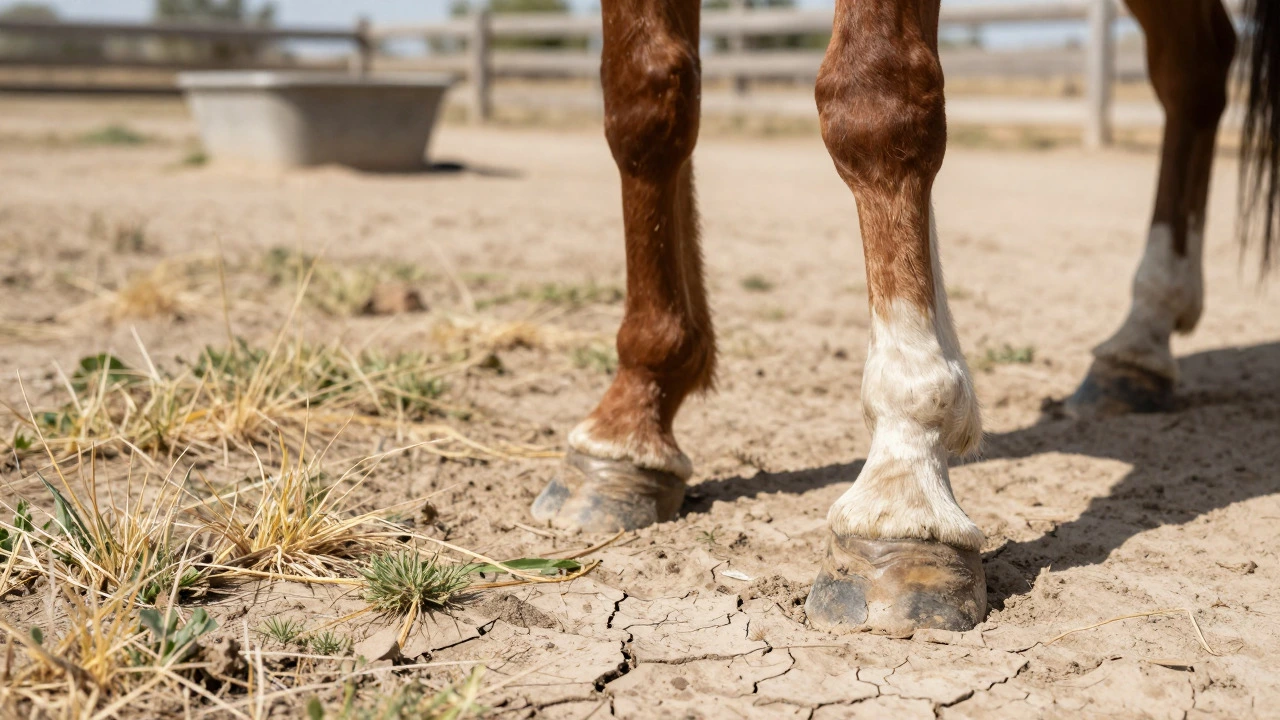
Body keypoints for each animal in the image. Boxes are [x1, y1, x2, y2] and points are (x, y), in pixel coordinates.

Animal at [528, 0, 1279, 636]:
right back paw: (1135, 350)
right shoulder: (644, 92)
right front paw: (632, 420)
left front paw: (904, 480)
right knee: (1196, 63)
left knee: (1194, 68)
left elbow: (875, 96)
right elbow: (645, 98)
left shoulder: (878, 92)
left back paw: (1146, 330)